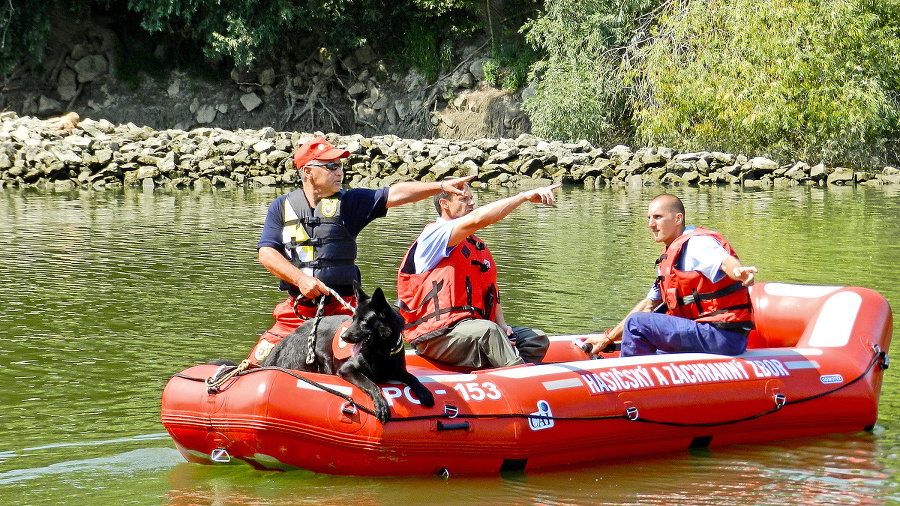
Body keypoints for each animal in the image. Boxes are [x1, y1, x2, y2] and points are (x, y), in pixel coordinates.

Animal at [258, 284, 434, 422]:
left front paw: (424, 392)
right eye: (353, 318)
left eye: (364, 321)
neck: (381, 351)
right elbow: (372, 384)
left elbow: (413, 378)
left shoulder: (399, 371)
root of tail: (289, 337)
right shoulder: (347, 369)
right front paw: (381, 404)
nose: (343, 337)